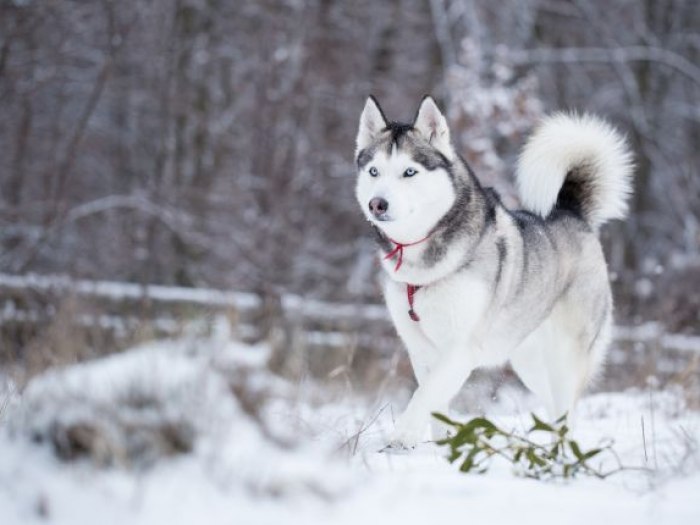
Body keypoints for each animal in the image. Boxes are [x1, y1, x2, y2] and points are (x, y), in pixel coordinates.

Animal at [356, 94, 636, 446]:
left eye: (409, 172)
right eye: (374, 171)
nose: (377, 204)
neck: (423, 259)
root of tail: (572, 213)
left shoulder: (461, 348)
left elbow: (424, 395)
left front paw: (402, 437)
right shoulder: (420, 349)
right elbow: (434, 402)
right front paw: (442, 444)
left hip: (565, 356)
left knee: (567, 410)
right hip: (529, 360)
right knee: (554, 405)